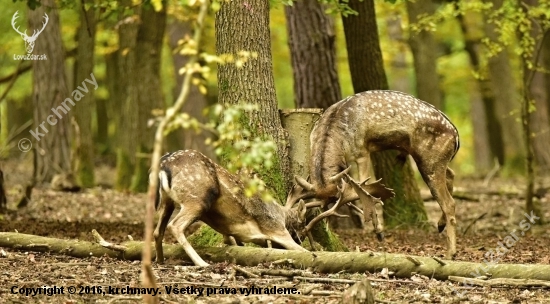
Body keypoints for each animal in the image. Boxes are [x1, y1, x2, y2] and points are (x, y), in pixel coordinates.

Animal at [153, 150, 308, 266]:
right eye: (302, 224)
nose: (302, 237)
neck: (282, 216)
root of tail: (163, 166)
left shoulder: (230, 233)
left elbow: (231, 242)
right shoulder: (276, 229)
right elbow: (302, 250)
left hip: (166, 200)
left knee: (157, 231)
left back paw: (159, 260)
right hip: (197, 198)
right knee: (175, 225)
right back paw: (202, 263)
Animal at [288, 89, 462, 258]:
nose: (298, 237)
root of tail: (456, 134)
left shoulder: (362, 151)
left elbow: (364, 187)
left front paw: (379, 232)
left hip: (430, 161)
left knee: (449, 202)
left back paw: (450, 253)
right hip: (434, 160)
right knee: (451, 175)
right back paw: (440, 225)